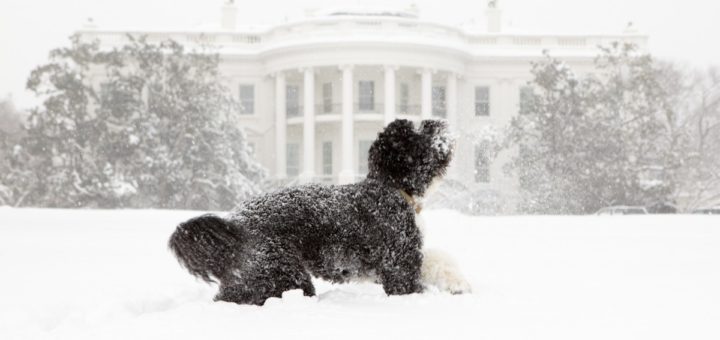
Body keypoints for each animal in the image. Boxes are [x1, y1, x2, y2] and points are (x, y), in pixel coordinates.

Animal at [169, 119, 452, 306]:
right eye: (418, 133)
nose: (435, 121)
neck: (389, 186)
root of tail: (235, 224)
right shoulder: (399, 260)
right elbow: (407, 284)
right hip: (282, 273)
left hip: (255, 276)